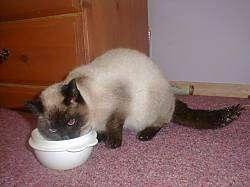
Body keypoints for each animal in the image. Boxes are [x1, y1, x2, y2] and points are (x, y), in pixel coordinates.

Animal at [26, 48, 243, 149]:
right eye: (53, 130)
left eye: (70, 122)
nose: (65, 137)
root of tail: (172, 96)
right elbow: (101, 131)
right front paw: (100, 137)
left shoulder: (120, 104)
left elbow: (114, 125)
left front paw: (112, 142)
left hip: (151, 106)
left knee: (162, 122)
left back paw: (145, 135)